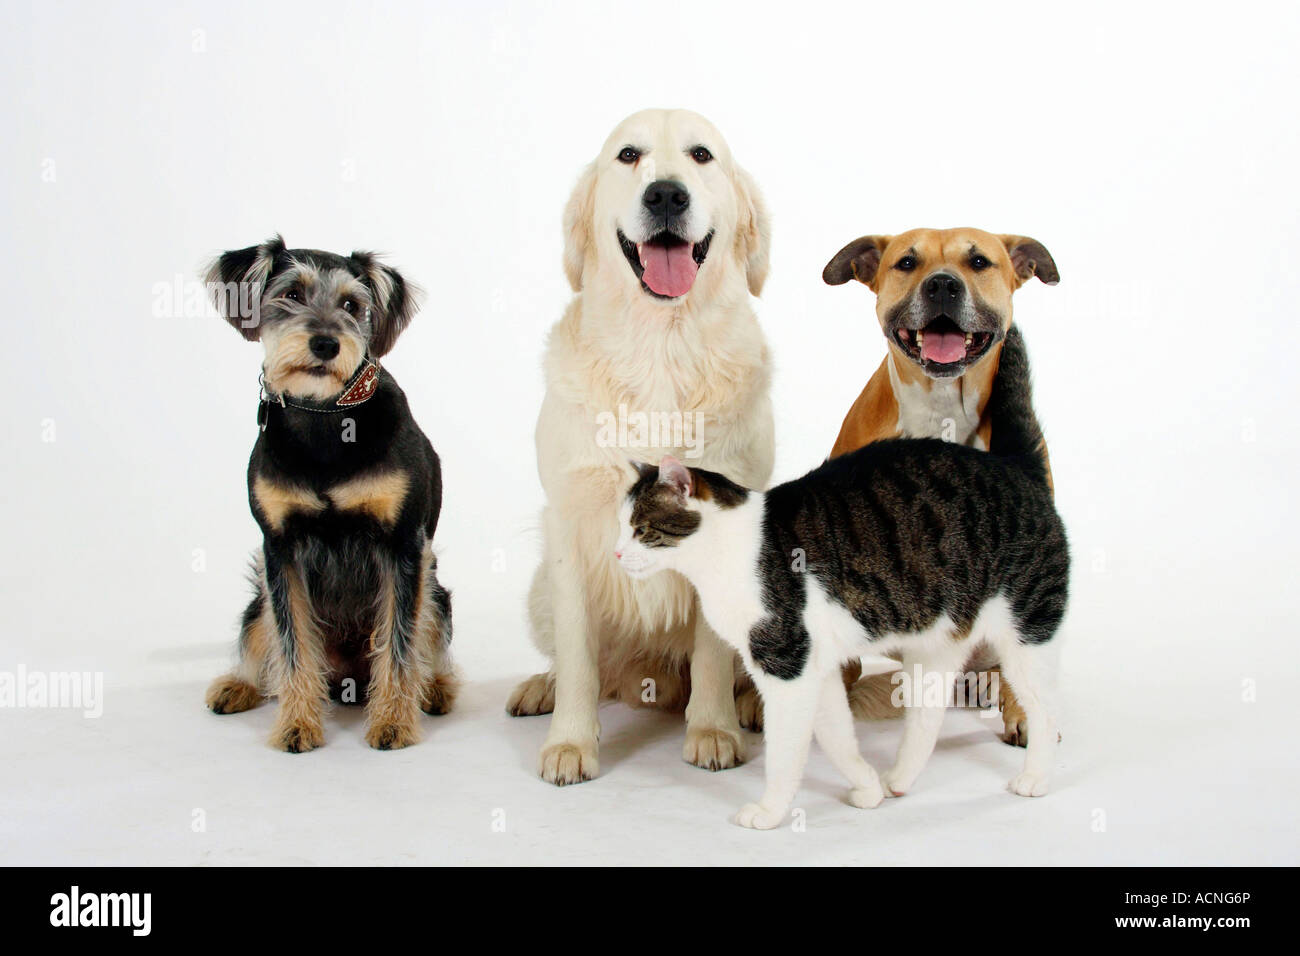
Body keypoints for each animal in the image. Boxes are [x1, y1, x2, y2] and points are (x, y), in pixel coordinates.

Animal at [201, 235, 457, 749]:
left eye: (351, 305)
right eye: (291, 294)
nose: (325, 343)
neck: (326, 421)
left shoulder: (403, 546)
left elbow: (399, 644)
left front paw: (393, 723)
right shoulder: (279, 550)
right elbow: (293, 645)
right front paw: (297, 725)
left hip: (436, 591)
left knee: (425, 641)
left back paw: (434, 687)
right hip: (258, 599)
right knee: (261, 647)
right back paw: (237, 686)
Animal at [504, 110, 769, 785]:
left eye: (702, 155)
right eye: (628, 155)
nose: (666, 195)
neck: (661, 346)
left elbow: (711, 656)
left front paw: (712, 730)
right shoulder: (571, 523)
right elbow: (579, 653)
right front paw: (570, 742)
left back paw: (750, 705)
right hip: (539, 585)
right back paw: (542, 688)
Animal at [616, 329, 1066, 832]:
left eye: (640, 529)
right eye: (621, 528)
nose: (616, 553)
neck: (729, 549)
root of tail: (1016, 465)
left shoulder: (785, 667)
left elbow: (786, 753)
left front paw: (769, 813)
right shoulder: (818, 667)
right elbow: (837, 737)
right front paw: (866, 788)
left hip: (1028, 631)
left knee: (1046, 710)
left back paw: (1035, 779)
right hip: (935, 649)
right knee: (927, 718)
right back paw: (897, 781)